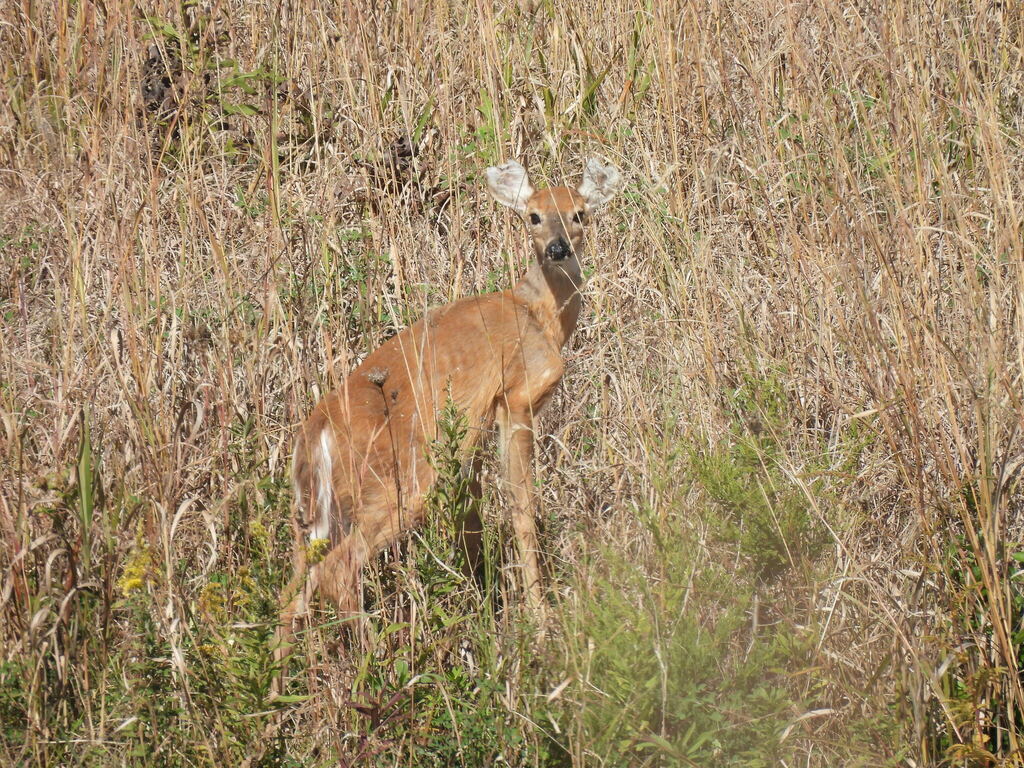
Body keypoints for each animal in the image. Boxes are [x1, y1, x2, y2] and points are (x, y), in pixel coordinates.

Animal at [274, 157, 622, 675]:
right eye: (533, 216)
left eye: (579, 213)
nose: (558, 248)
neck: (540, 316)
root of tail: (315, 434)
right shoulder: (516, 396)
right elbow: (522, 510)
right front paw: (540, 626)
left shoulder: (473, 434)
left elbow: (473, 521)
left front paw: (488, 603)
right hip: (398, 483)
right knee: (339, 568)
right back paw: (382, 665)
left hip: (318, 508)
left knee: (293, 587)